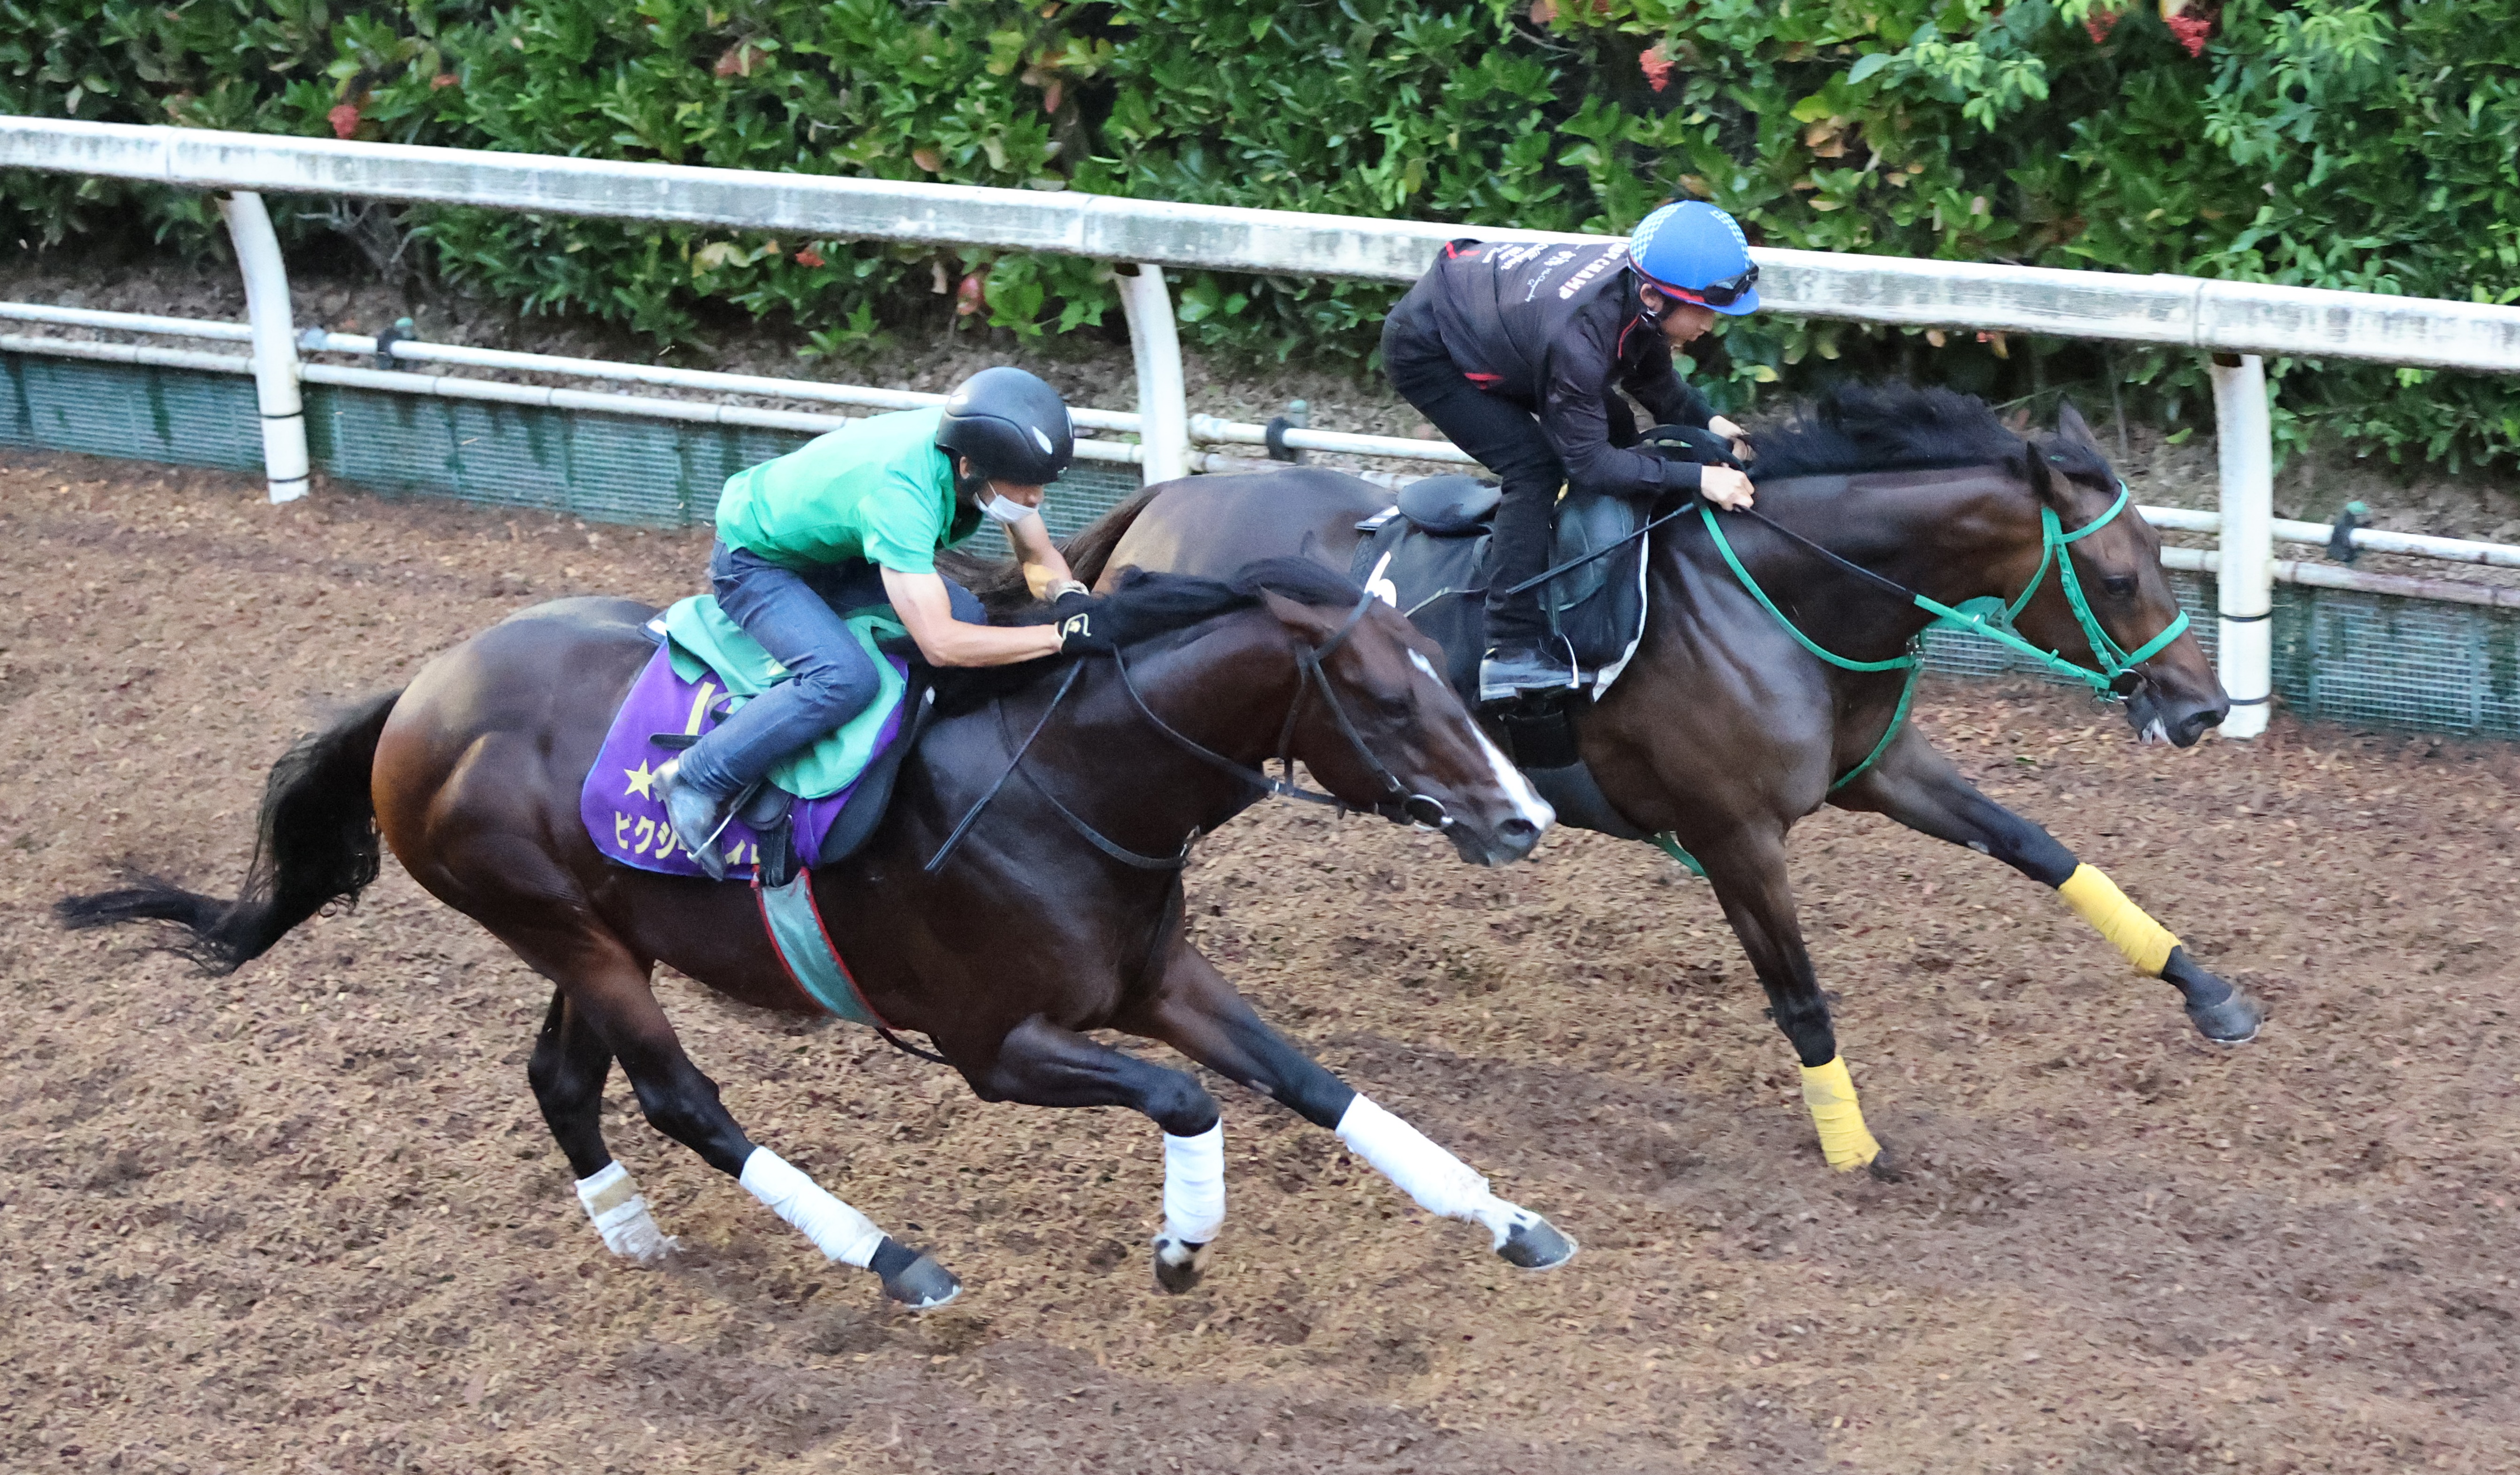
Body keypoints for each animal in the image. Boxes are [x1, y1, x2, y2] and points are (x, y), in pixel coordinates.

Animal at [54, 560, 1572, 1301]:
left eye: (1453, 678)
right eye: (1387, 697)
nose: (1521, 817)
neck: (1068, 779)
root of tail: (420, 692)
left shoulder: (1157, 977)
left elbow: (1312, 1081)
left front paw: (1506, 1216)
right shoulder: (996, 1044)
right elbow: (1191, 1099)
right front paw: (1181, 1245)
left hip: (597, 932)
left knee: (565, 1078)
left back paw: (630, 1234)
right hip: (560, 926)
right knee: (679, 1097)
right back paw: (893, 1259)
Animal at [1043, 385, 2268, 1180]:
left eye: (2164, 559)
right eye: (2118, 577)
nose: (2204, 707)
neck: (1783, 593)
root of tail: (1161, 500)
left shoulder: (1880, 768)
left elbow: (2041, 847)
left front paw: (2208, 990)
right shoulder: (1734, 833)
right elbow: (1799, 992)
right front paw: (1852, 1145)